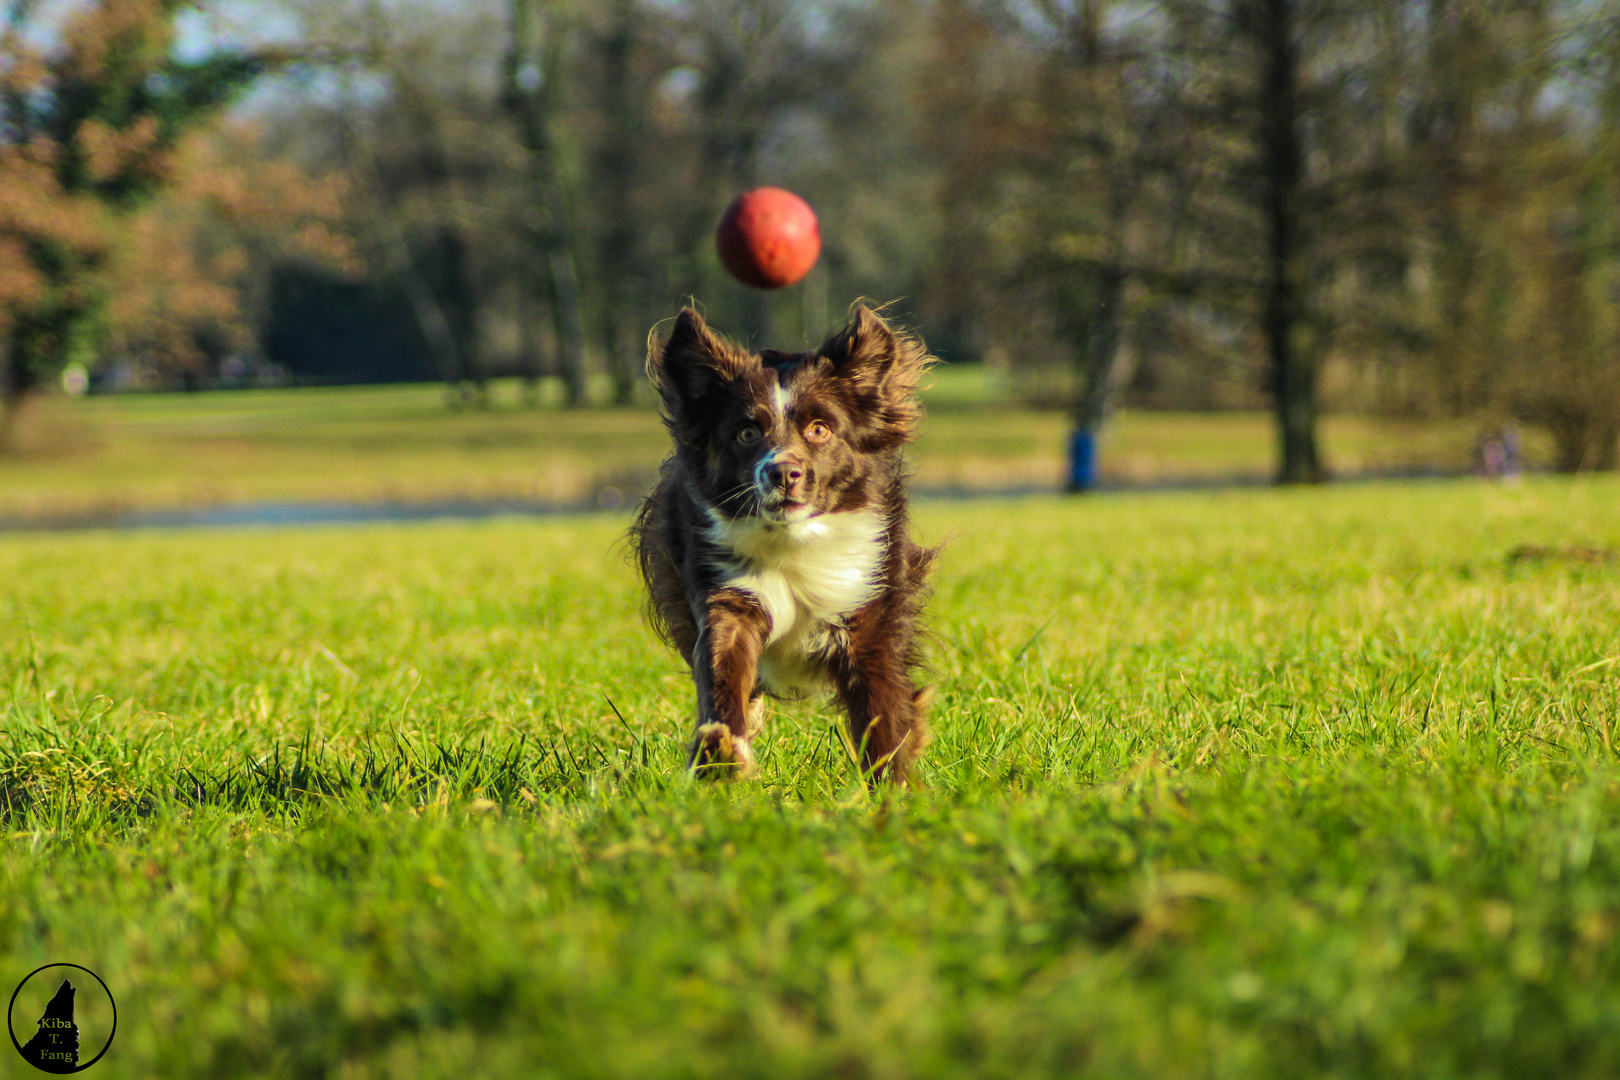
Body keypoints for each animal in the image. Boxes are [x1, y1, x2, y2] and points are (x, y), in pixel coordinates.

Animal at [631, 304, 939, 786]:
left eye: (820, 429)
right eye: (746, 433)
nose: (782, 472)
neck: (796, 541)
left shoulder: (868, 606)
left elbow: (882, 711)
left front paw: (894, 787)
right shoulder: (729, 592)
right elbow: (722, 665)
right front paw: (721, 752)